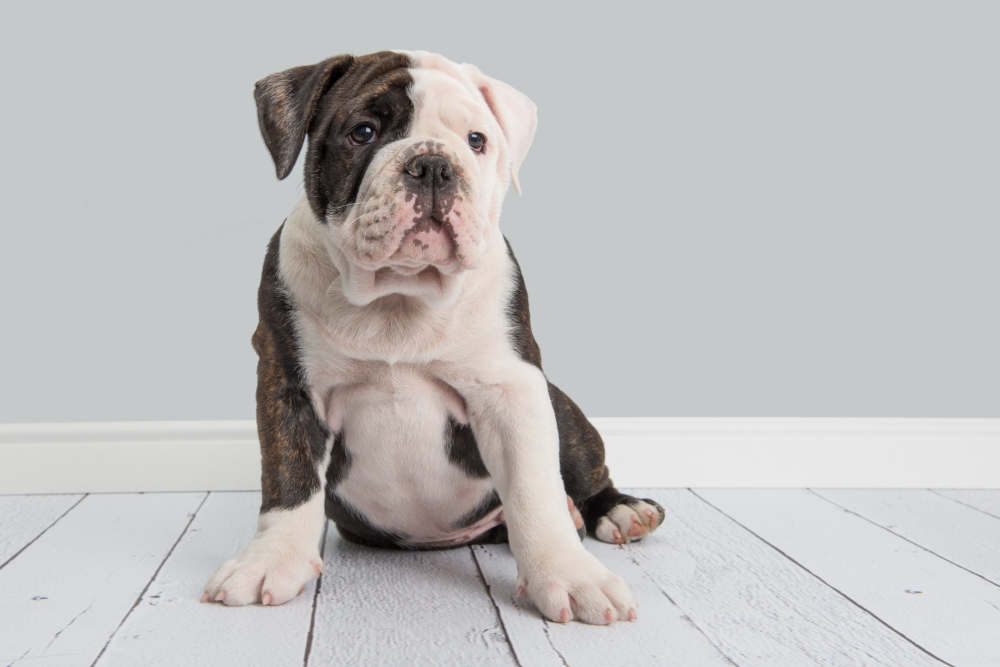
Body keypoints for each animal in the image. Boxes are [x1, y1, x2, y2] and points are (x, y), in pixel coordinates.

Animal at [202, 48, 664, 628]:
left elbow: (534, 490)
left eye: (477, 140)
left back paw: (619, 510)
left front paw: (570, 575)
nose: (434, 165)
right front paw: (268, 561)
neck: (400, 294)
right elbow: (289, 479)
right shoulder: (288, 384)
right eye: (363, 132)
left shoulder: (513, 389)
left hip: (563, 410)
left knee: (582, 471)